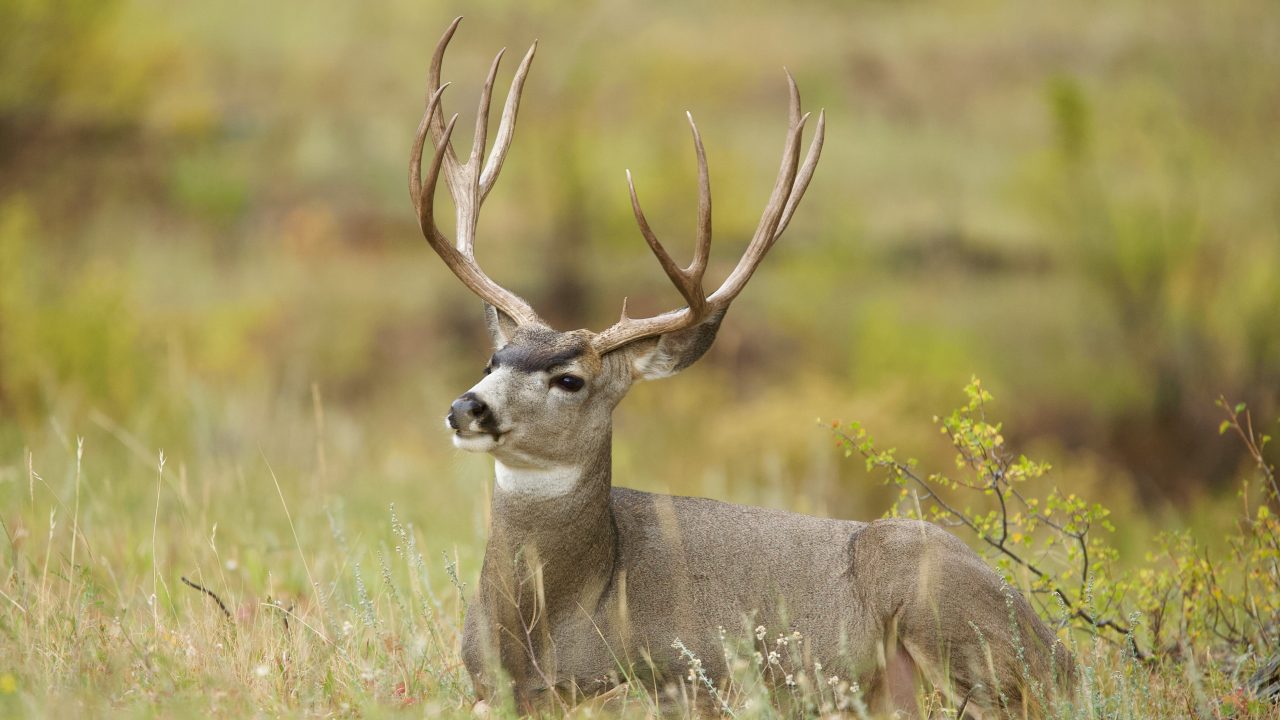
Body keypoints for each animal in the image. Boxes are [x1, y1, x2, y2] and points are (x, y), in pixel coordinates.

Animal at [409, 18, 1075, 718]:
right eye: (495, 356)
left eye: (570, 379)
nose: (467, 407)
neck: (551, 624)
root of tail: (1065, 656)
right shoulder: (482, 683)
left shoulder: (682, 675)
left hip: (940, 606)